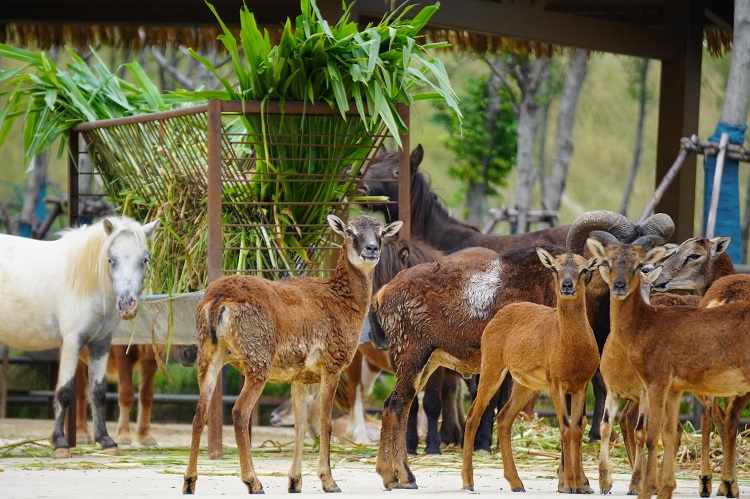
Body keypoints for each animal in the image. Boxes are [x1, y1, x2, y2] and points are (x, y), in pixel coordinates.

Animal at [0, 217, 160, 458]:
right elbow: (65, 391)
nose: (127, 305)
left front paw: (106, 441)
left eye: (145, 259)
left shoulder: (100, 344)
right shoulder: (72, 342)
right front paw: (60, 443)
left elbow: (98, 391)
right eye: (111, 259)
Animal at [183, 215, 402, 496]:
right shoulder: (332, 364)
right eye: (350, 232)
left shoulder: (300, 376)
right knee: (240, 412)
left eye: (382, 232)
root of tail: (218, 301)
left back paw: (189, 482)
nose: (372, 248)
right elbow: (326, 422)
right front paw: (329, 481)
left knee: (200, 411)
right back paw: (254, 482)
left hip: (209, 354)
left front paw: (295, 482)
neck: (343, 304)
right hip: (258, 357)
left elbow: (300, 425)